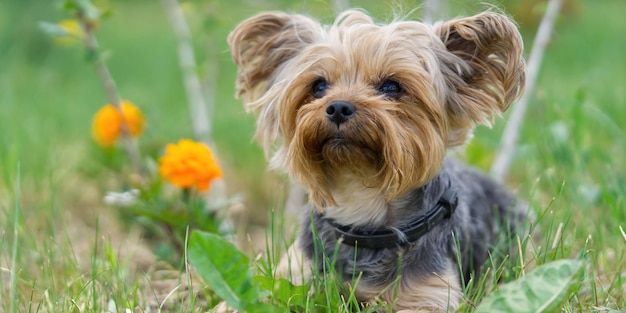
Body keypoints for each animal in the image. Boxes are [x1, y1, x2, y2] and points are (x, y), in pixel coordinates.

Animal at [228, 8, 528, 310]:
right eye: (319, 85)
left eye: (391, 86)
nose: (338, 107)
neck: (361, 204)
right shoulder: (294, 276)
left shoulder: (428, 294)